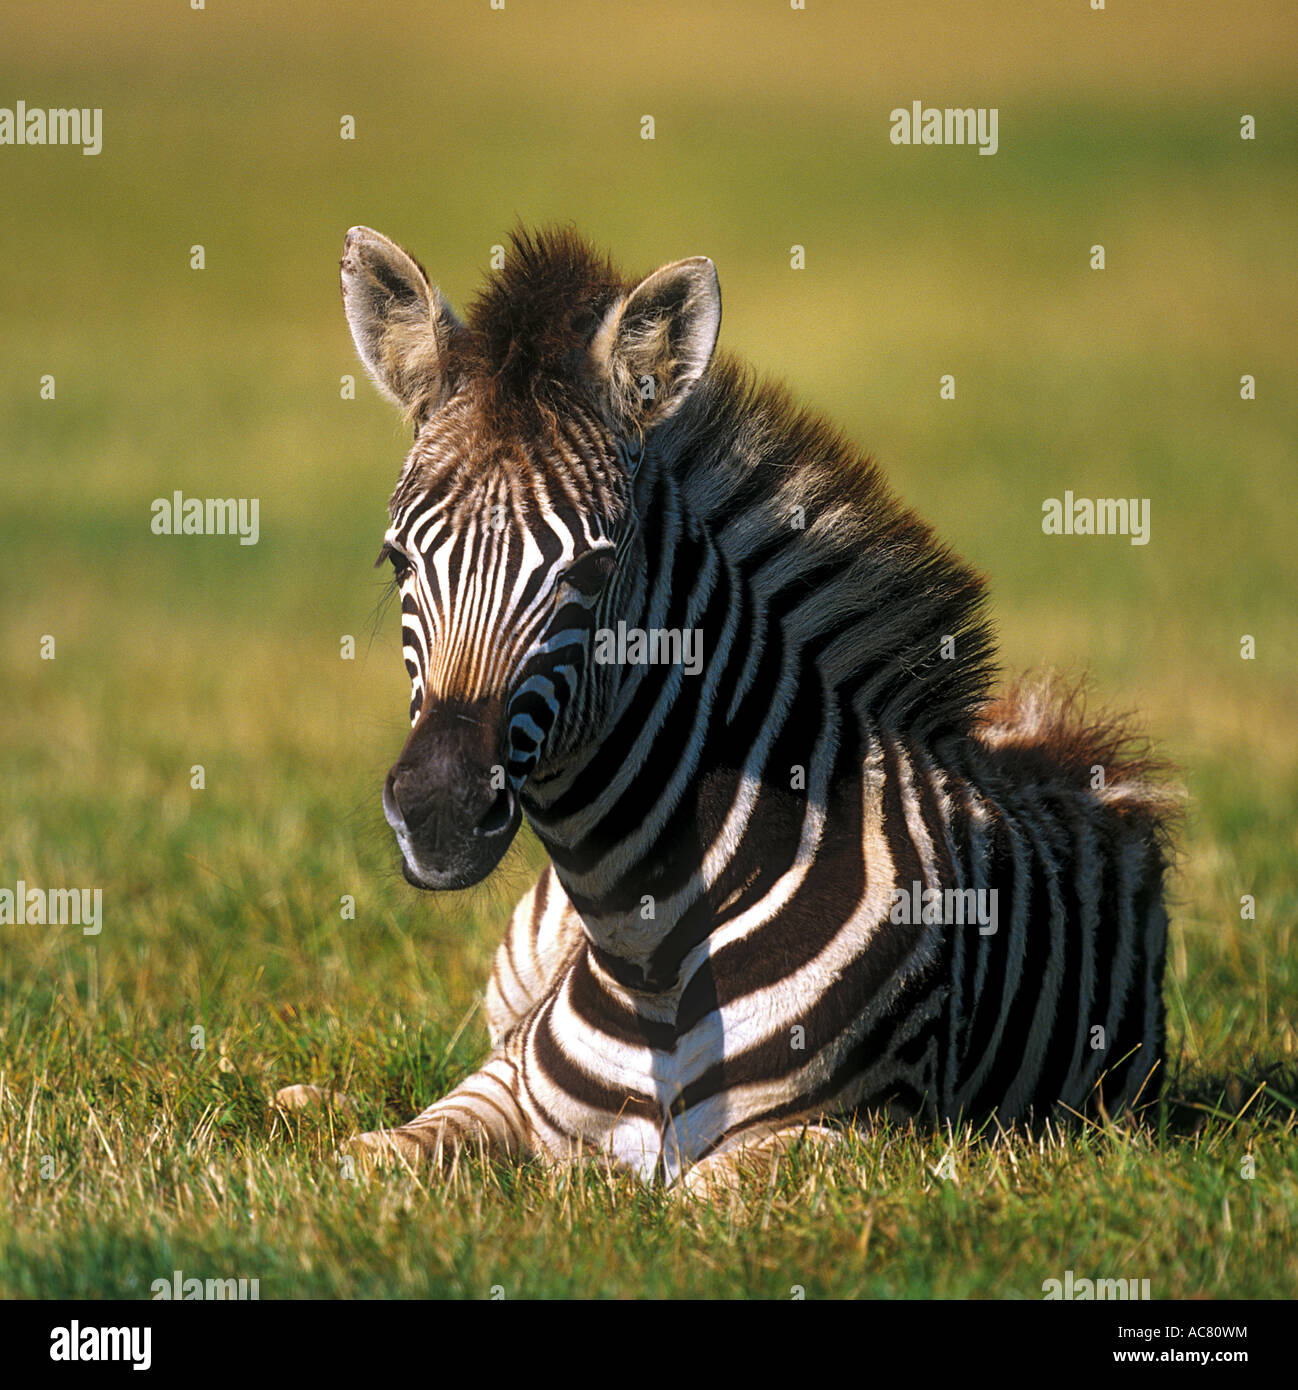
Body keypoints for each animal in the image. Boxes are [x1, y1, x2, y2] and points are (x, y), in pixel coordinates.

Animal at [276, 225, 1178, 1184]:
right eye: (397, 560)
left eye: (594, 571)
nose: (439, 811)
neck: (645, 946)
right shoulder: (509, 1087)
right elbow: (380, 1152)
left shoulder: (860, 1134)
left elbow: (700, 1191)